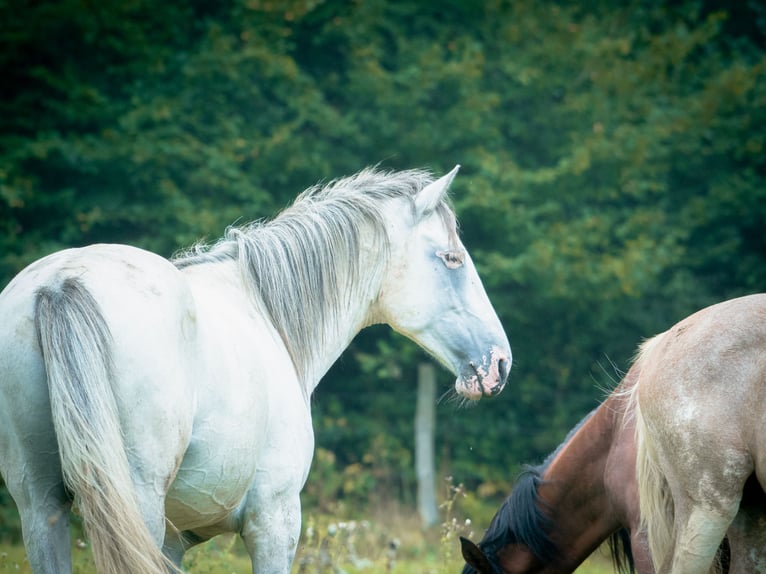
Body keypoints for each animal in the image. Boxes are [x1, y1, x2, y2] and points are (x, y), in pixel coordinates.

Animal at [0, 164, 512, 572]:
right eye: (452, 258)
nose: (499, 363)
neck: (268, 314)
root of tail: (61, 282)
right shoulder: (275, 520)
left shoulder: (172, 540)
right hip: (135, 500)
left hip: (40, 504)